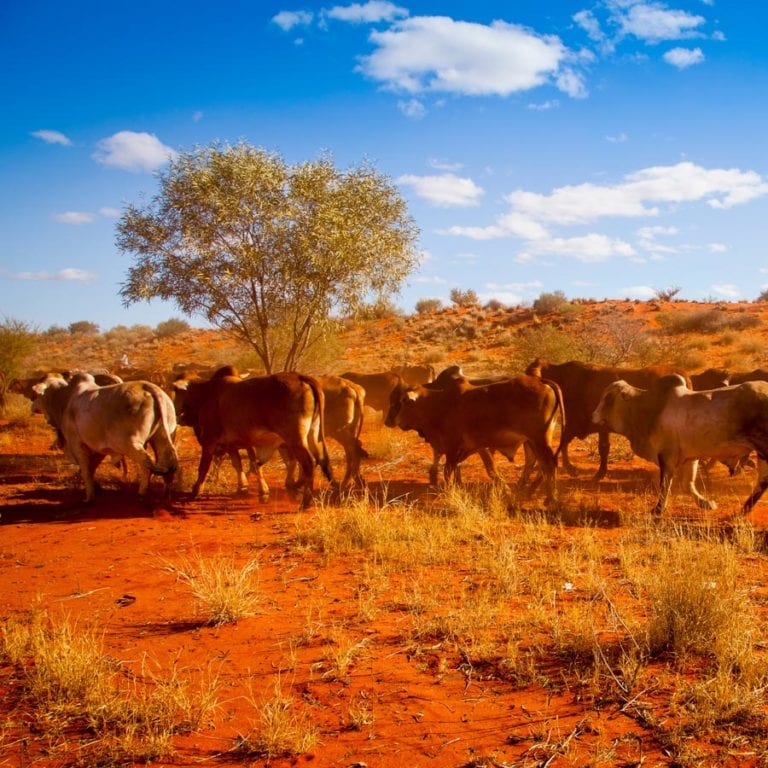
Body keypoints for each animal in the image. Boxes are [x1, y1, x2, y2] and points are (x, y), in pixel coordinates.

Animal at [388, 376, 560, 508]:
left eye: (404, 401)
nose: (394, 421)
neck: (437, 404)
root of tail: (542, 382)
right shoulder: (477, 446)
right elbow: (489, 469)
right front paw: (507, 492)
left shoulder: (452, 446)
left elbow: (448, 471)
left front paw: (449, 492)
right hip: (532, 441)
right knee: (536, 463)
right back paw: (527, 492)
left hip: (539, 439)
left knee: (548, 464)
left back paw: (550, 499)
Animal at [592, 374, 768, 516]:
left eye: (608, 397)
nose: (593, 415)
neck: (647, 410)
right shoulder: (691, 457)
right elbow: (687, 485)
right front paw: (706, 503)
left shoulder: (666, 457)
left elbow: (665, 486)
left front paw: (658, 509)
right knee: (762, 481)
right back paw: (744, 510)